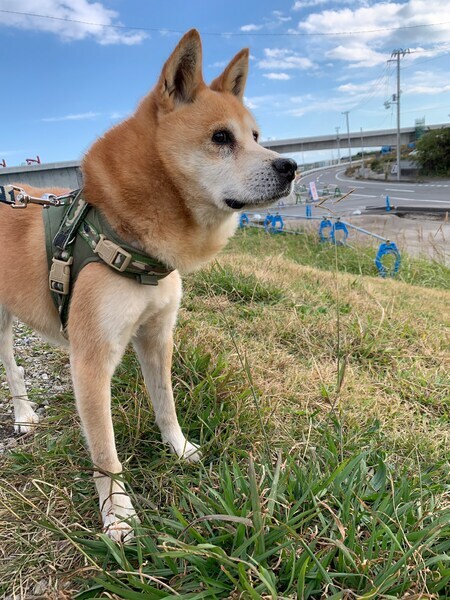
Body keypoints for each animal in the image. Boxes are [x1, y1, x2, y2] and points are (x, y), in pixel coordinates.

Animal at [0, 29, 296, 540]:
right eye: (221, 138)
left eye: (257, 137)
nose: (291, 166)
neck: (126, 232)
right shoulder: (90, 362)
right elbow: (105, 454)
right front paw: (118, 517)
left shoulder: (157, 335)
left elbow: (166, 404)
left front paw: (178, 449)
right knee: (11, 368)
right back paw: (21, 415)